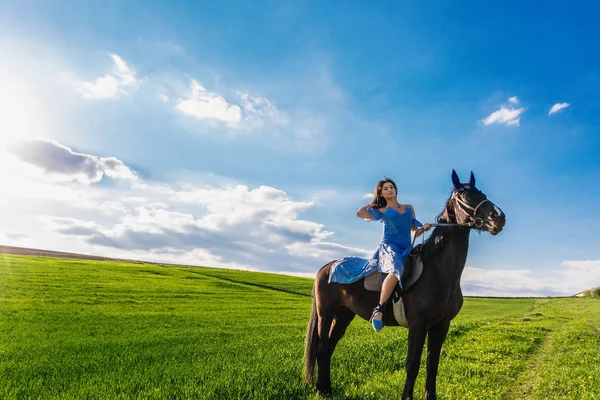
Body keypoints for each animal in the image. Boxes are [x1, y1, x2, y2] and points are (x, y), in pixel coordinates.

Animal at [304, 171, 506, 400]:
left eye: (482, 193)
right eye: (464, 196)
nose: (498, 217)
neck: (439, 272)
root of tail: (327, 267)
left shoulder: (441, 325)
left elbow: (432, 364)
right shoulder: (418, 325)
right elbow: (413, 365)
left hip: (344, 314)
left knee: (329, 347)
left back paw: (326, 389)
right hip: (326, 312)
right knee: (321, 348)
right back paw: (320, 390)